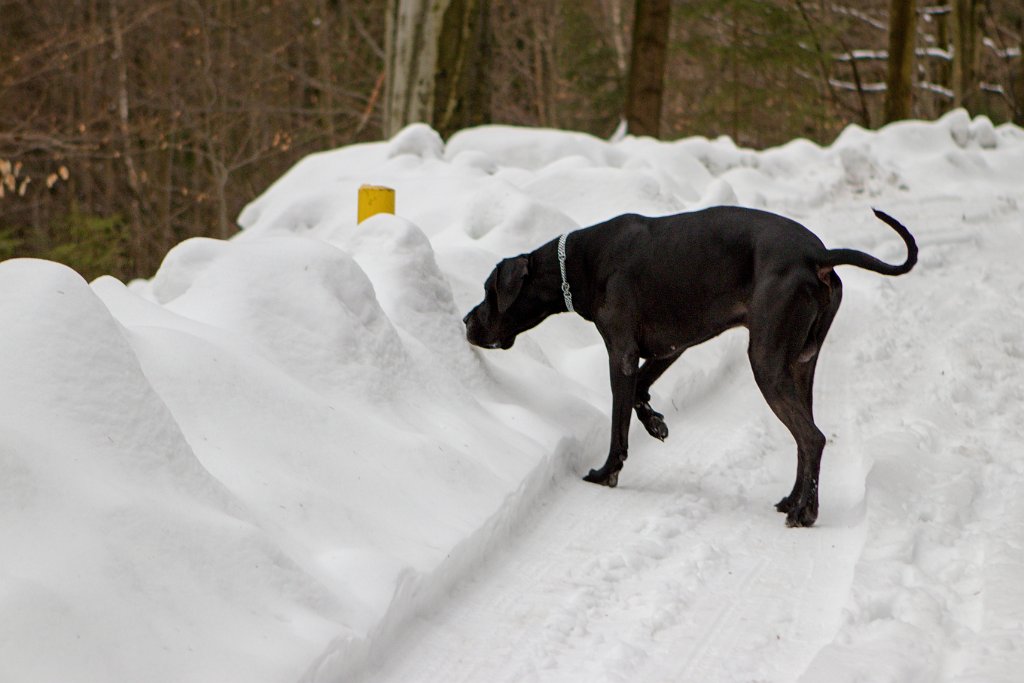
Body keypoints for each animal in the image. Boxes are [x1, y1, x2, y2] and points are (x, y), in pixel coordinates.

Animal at [462, 208, 913, 528]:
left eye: (488, 290)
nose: (466, 321)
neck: (578, 262)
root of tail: (817, 254)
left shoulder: (621, 352)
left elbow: (618, 421)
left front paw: (608, 472)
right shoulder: (669, 347)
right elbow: (641, 393)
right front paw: (656, 423)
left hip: (766, 362)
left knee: (813, 437)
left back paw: (803, 512)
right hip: (801, 365)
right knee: (806, 438)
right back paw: (795, 501)